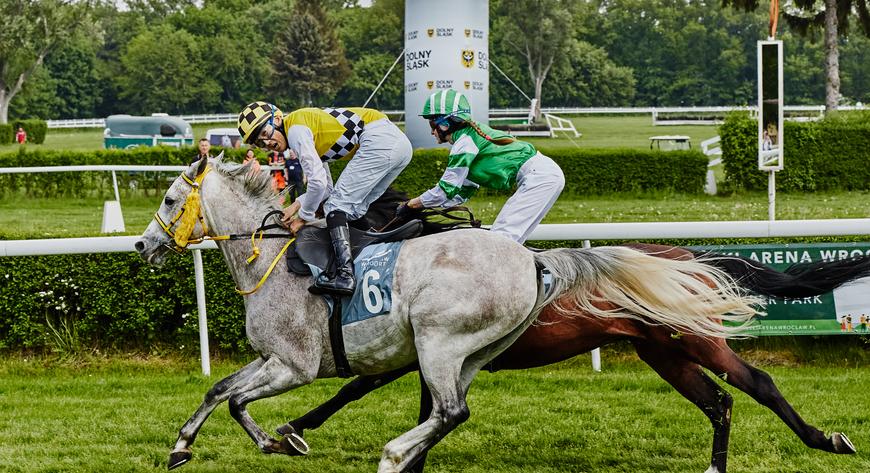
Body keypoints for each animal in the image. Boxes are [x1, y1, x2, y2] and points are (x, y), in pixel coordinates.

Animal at [135, 157, 764, 470]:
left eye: (169, 198)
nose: (143, 245)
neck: (273, 256)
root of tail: (534, 260)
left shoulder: (297, 364)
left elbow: (237, 399)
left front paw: (279, 440)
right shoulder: (274, 358)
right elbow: (219, 390)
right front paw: (182, 446)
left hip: (440, 340)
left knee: (451, 410)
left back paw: (394, 454)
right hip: (476, 352)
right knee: (451, 410)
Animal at [274, 193, 864, 472]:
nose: (295, 235)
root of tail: (689, 257)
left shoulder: (423, 347)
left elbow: (355, 387)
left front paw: (293, 429)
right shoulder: (430, 352)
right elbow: (412, 406)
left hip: (695, 339)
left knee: (757, 383)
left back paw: (827, 439)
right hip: (662, 351)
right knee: (718, 401)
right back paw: (716, 466)